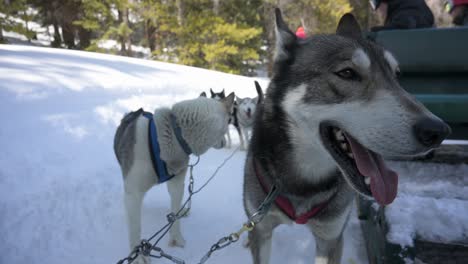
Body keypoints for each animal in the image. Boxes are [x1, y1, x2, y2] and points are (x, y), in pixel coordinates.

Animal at [114, 94, 234, 258]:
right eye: (228, 122)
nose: (225, 142)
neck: (174, 135)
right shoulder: (134, 192)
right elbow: (135, 228)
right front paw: (139, 256)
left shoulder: (177, 185)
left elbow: (175, 214)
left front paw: (177, 238)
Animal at [243, 8, 448, 264]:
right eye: (347, 73)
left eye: (396, 75)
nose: (437, 131)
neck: (305, 182)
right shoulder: (262, 230)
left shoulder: (330, 239)